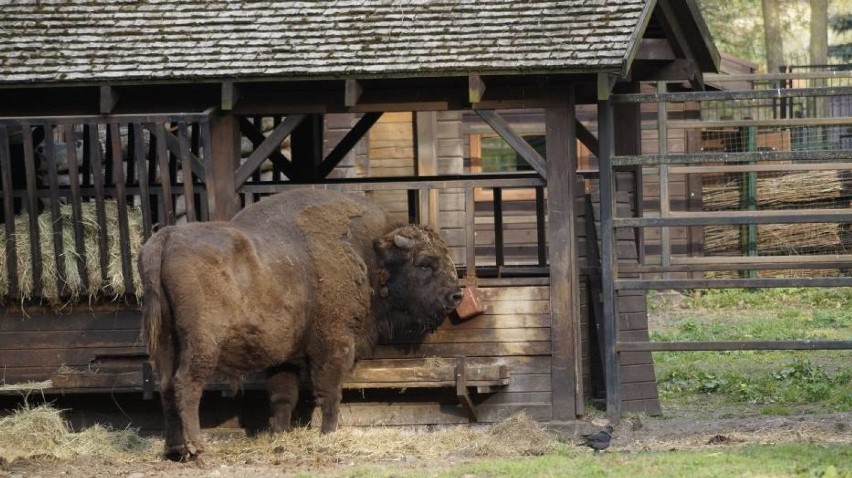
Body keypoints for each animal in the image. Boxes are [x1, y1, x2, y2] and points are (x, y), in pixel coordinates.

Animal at [141, 190, 460, 460]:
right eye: (425, 263)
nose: (456, 295)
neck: (367, 254)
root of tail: (166, 237)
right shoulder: (334, 344)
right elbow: (329, 392)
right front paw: (328, 433)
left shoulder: (284, 356)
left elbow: (284, 397)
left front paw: (280, 435)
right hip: (202, 342)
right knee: (187, 384)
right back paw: (196, 448)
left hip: (166, 340)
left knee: (166, 387)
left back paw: (173, 449)